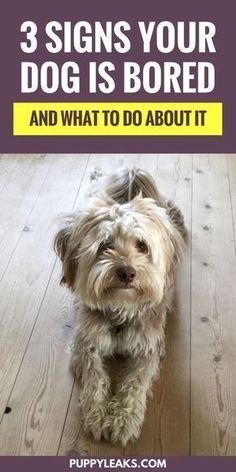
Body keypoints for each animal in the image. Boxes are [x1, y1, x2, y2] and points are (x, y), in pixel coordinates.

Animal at [54, 169, 186, 446]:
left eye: (142, 246)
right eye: (105, 245)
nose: (127, 272)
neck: (120, 310)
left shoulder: (149, 347)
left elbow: (136, 381)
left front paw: (123, 420)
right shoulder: (86, 342)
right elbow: (94, 377)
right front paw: (96, 415)